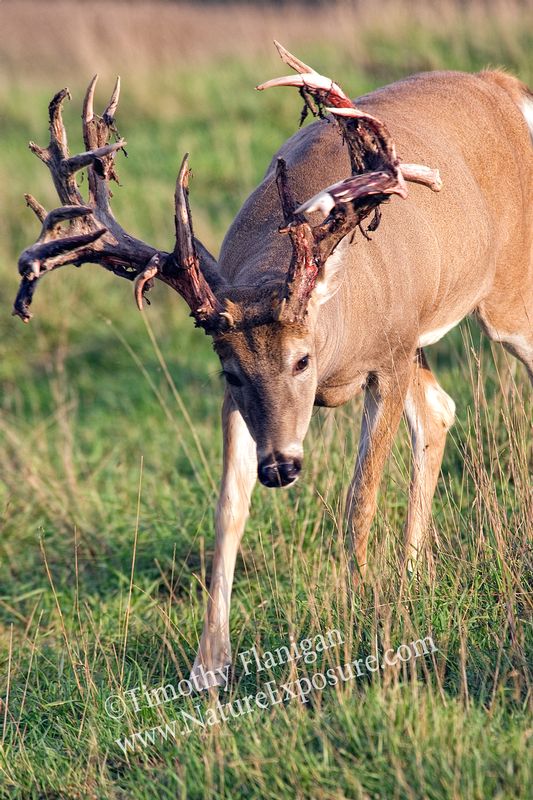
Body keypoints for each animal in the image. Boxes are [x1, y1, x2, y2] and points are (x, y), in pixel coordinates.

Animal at [13, 44, 533, 690]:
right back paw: (413, 579)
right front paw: (207, 668)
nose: (281, 467)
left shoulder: (387, 356)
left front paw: (362, 624)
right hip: (422, 333)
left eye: (302, 358)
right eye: (232, 372)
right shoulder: (263, 385)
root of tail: (504, 87)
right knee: (439, 410)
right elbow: (227, 509)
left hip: (506, 290)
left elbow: (359, 499)